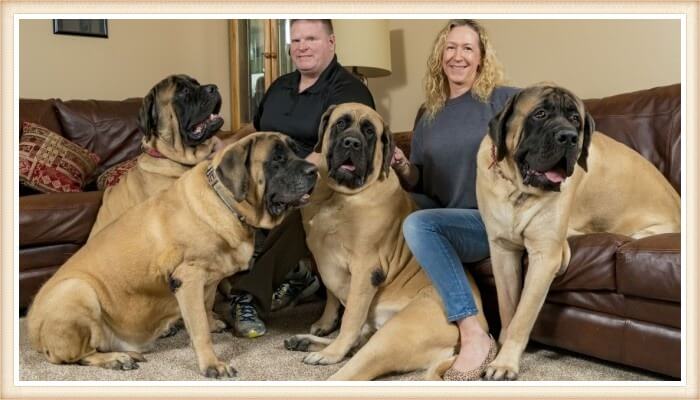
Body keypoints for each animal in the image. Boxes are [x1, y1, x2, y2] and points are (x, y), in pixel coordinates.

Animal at [26, 132, 318, 378]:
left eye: (297, 151)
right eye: (277, 159)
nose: (314, 170)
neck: (225, 201)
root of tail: (32, 333)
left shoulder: (209, 281)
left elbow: (205, 309)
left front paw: (213, 323)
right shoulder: (188, 278)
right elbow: (199, 328)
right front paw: (212, 364)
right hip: (77, 290)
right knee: (79, 355)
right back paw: (116, 358)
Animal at [284, 103, 486, 382]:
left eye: (369, 131)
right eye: (340, 123)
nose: (352, 142)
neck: (340, 196)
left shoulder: (365, 269)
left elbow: (349, 318)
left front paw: (333, 350)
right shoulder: (322, 258)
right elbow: (332, 295)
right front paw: (325, 323)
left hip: (394, 334)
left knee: (354, 362)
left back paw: (328, 354)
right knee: (359, 340)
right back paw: (305, 341)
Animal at [476, 83, 680, 378]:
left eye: (575, 120)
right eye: (539, 114)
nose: (569, 138)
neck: (518, 190)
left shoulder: (543, 257)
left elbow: (523, 314)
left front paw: (505, 362)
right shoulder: (502, 251)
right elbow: (507, 307)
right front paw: (501, 347)